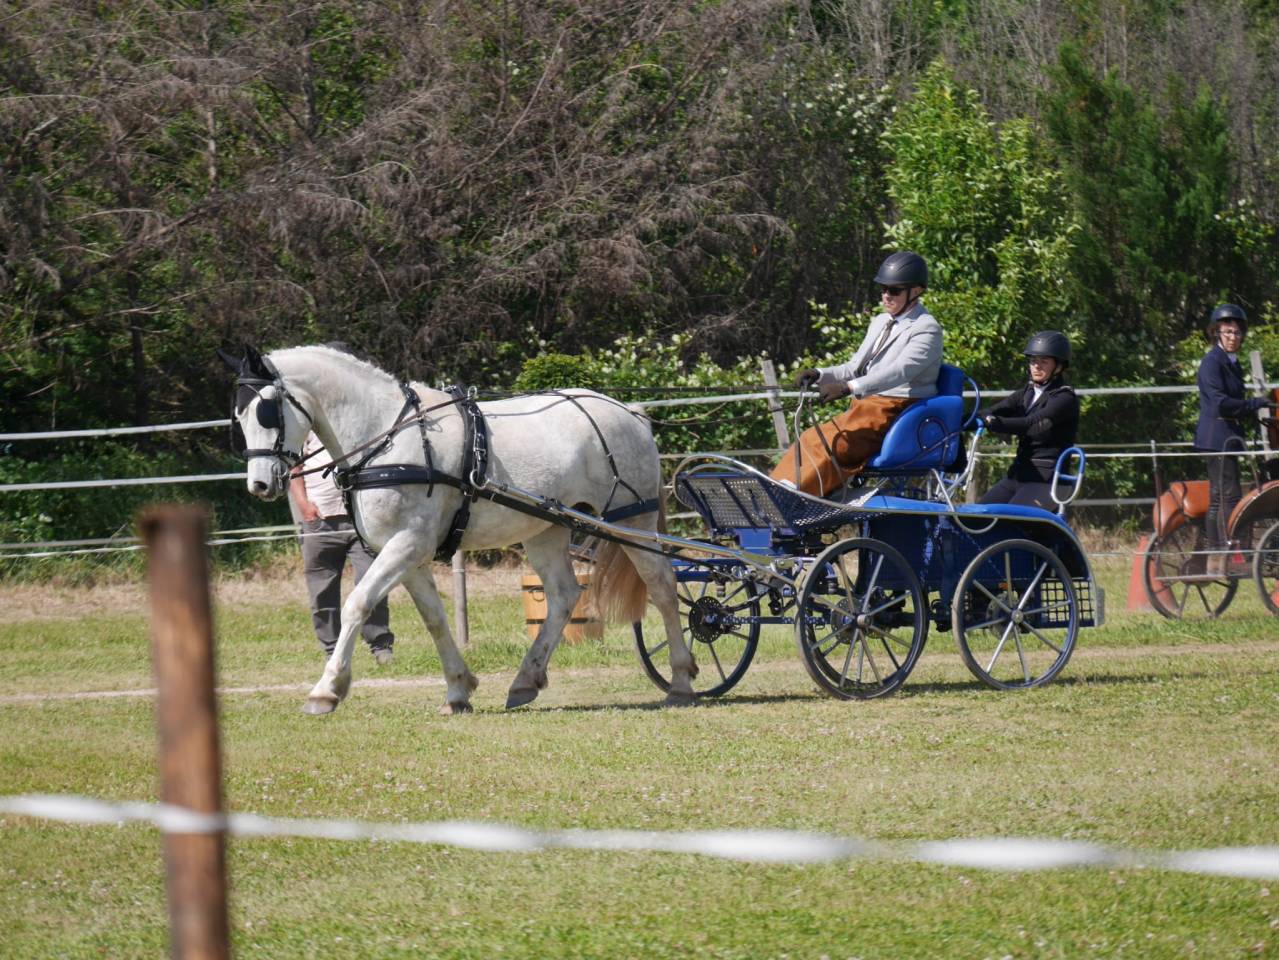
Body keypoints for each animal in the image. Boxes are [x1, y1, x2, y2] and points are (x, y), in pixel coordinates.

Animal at [219, 344, 696, 714]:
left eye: (266, 411)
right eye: (238, 417)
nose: (260, 485)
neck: (387, 437)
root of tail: (629, 410)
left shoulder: (407, 544)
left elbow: (358, 604)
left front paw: (327, 690)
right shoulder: (406, 554)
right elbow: (434, 618)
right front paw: (458, 689)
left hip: (630, 521)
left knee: (662, 586)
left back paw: (680, 680)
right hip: (546, 528)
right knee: (563, 595)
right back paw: (525, 681)